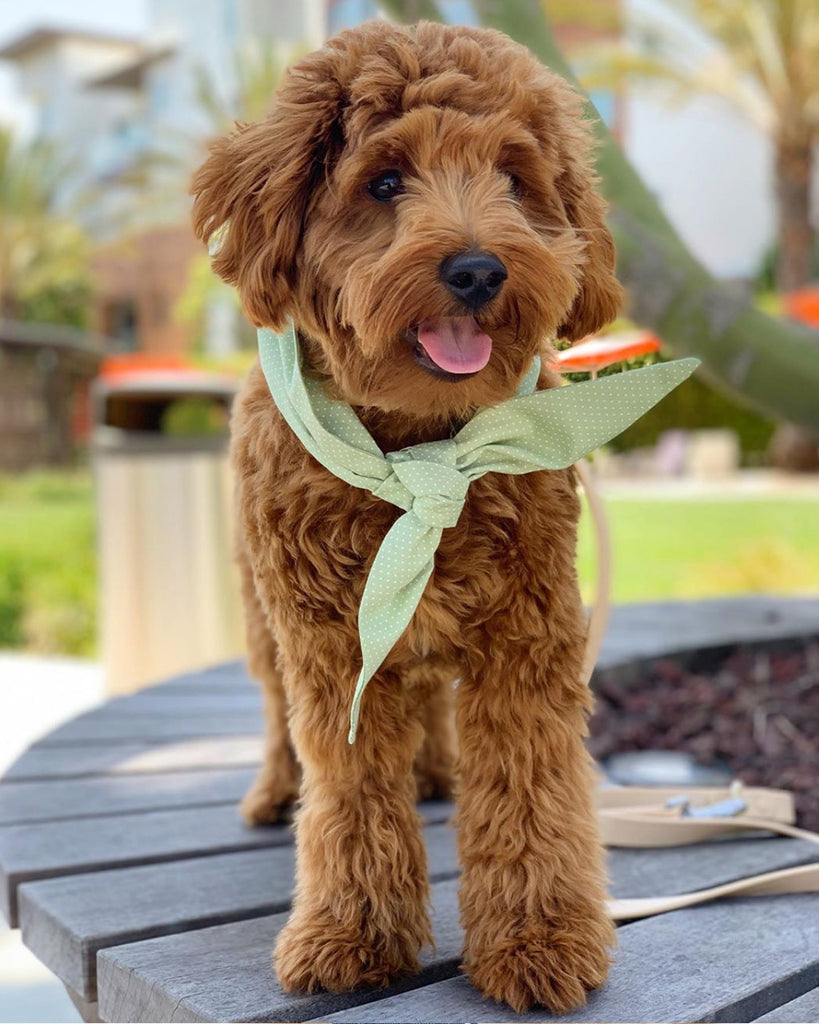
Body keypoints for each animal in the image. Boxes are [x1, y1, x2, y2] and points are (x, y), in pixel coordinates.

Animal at [192, 19, 622, 1011]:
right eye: (384, 182)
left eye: (513, 178)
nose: (478, 268)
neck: (422, 454)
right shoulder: (327, 645)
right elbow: (349, 790)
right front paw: (349, 933)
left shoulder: (526, 635)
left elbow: (529, 786)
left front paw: (539, 937)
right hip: (260, 618)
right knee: (274, 715)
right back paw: (274, 791)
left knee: (427, 705)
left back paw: (435, 771)